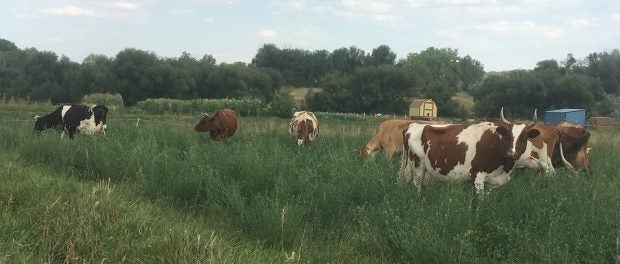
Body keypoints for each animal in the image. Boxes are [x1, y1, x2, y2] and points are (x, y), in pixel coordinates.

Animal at [400, 120, 540, 193]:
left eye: (524, 137)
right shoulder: (477, 176)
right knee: (417, 186)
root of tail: (413, 125)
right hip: (418, 164)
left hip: (424, 170)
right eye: (508, 136)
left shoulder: (490, 182)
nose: (511, 153)